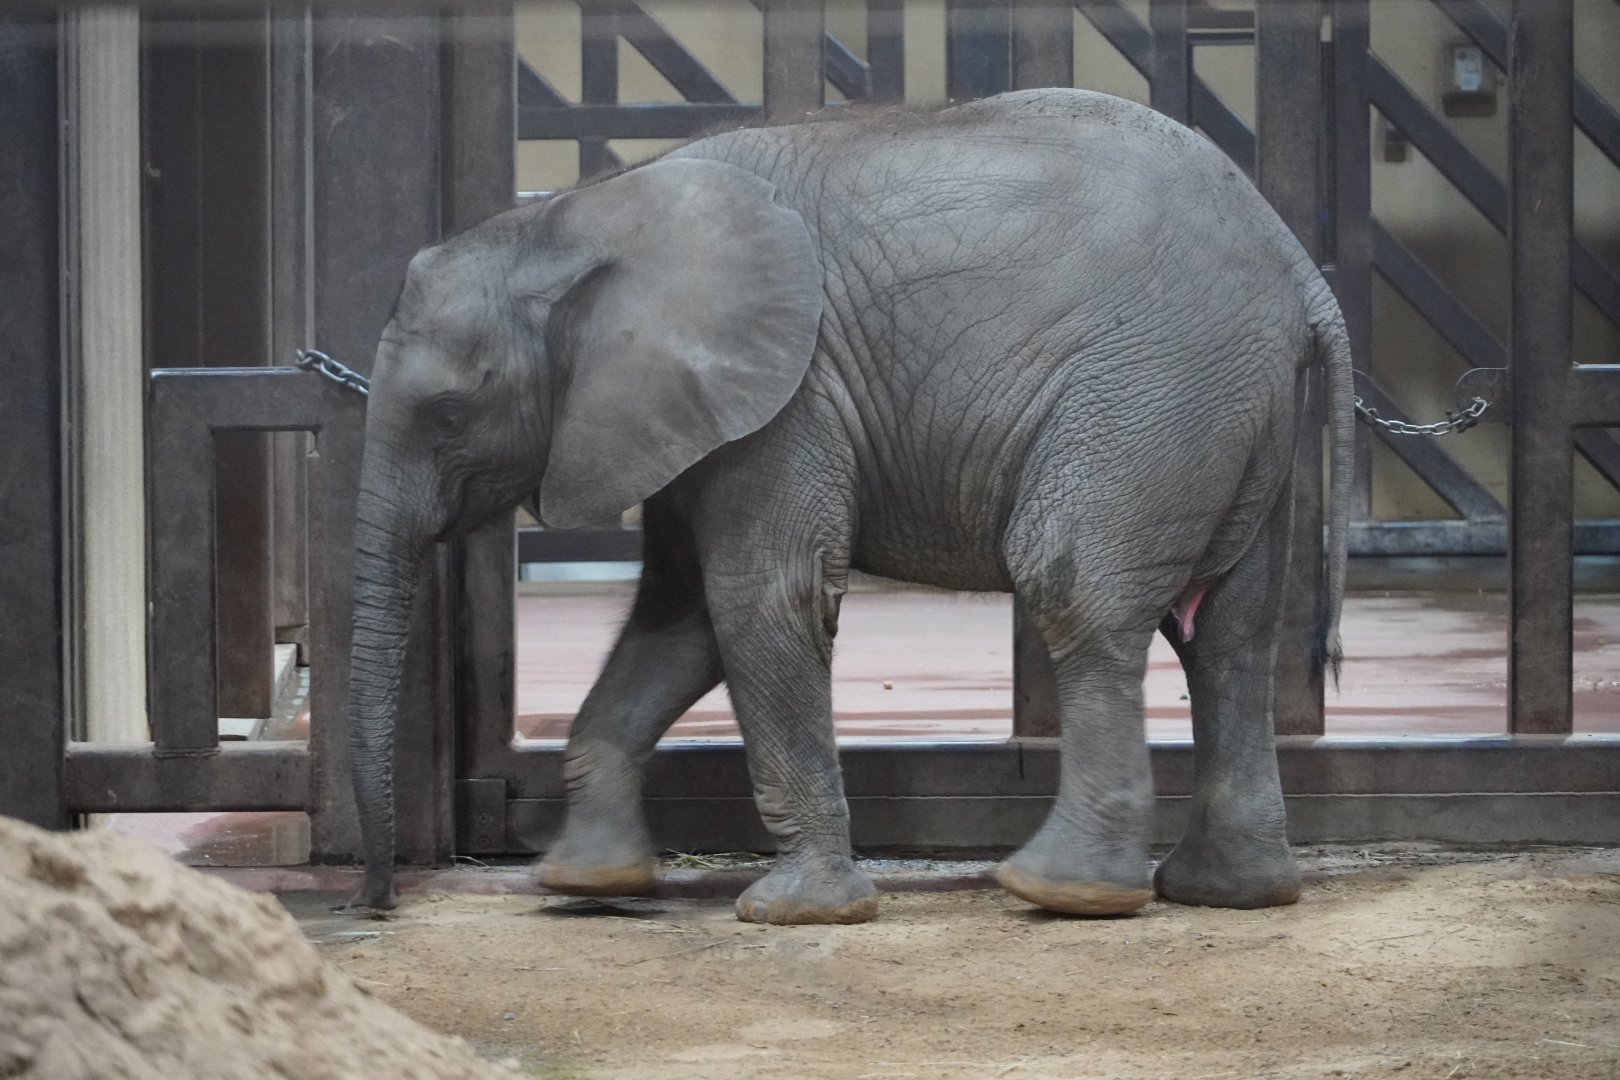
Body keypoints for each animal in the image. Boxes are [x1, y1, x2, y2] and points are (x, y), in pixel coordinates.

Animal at [344, 87, 1353, 925]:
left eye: (447, 414)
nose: (377, 907)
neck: (568, 217)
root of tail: (1298, 265)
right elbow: (683, 616)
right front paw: (584, 881)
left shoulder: (790, 398)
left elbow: (764, 598)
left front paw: (794, 913)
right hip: (1231, 413)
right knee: (1231, 633)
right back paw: (1231, 893)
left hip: (1153, 392)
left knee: (1075, 588)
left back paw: (1061, 892)